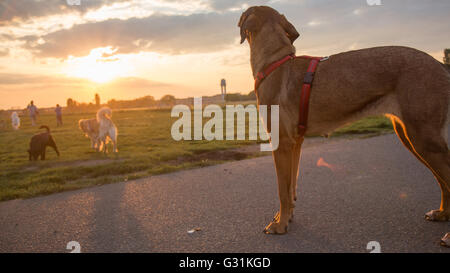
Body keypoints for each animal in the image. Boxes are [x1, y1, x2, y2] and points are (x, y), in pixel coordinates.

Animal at [237, 5, 448, 238]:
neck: (275, 61)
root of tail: (439, 64)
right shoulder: (295, 143)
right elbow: (291, 186)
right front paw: (286, 217)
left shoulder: (281, 142)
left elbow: (283, 189)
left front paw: (280, 225)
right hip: (410, 136)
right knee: (443, 182)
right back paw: (442, 214)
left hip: (424, 139)